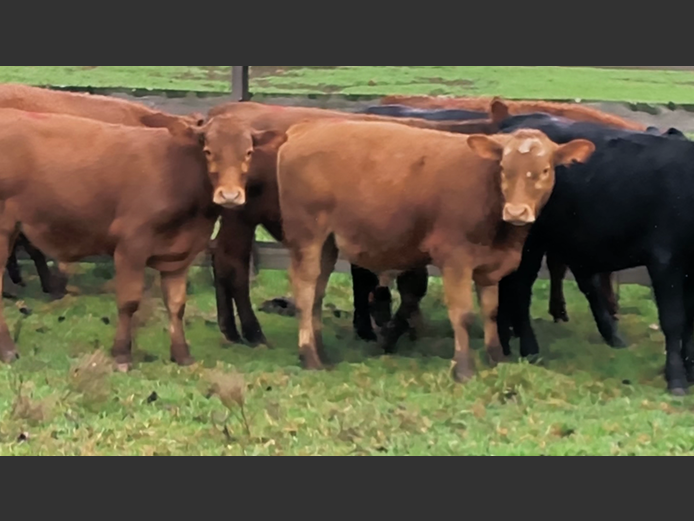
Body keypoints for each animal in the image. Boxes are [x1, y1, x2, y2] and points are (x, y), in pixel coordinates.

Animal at [0, 108, 222, 370]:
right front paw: (122, 355)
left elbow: (177, 304)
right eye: (208, 149)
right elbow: (129, 302)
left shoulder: (179, 254)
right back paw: (8, 350)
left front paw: (182, 355)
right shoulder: (130, 247)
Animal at [201, 101, 506, 348]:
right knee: (234, 265)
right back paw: (252, 332)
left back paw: (230, 329)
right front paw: (389, 332)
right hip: (239, 216)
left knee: (220, 258)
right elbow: (410, 286)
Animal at [278, 121, 600, 382]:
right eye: (503, 169)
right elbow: (463, 315)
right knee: (305, 292)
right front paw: (464, 369)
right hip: (306, 235)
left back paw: (321, 354)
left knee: (317, 293)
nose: (516, 211)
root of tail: (305, 128)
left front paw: (497, 359)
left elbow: (492, 312)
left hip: (327, 244)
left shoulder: (490, 267)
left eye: (544, 170)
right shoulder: (455, 259)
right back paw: (309, 357)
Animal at [500, 110, 694, 394]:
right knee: (520, 288)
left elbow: (691, 323)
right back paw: (529, 348)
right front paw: (676, 378)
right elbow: (674, 320)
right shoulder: (665, 260)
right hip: (530, 241)